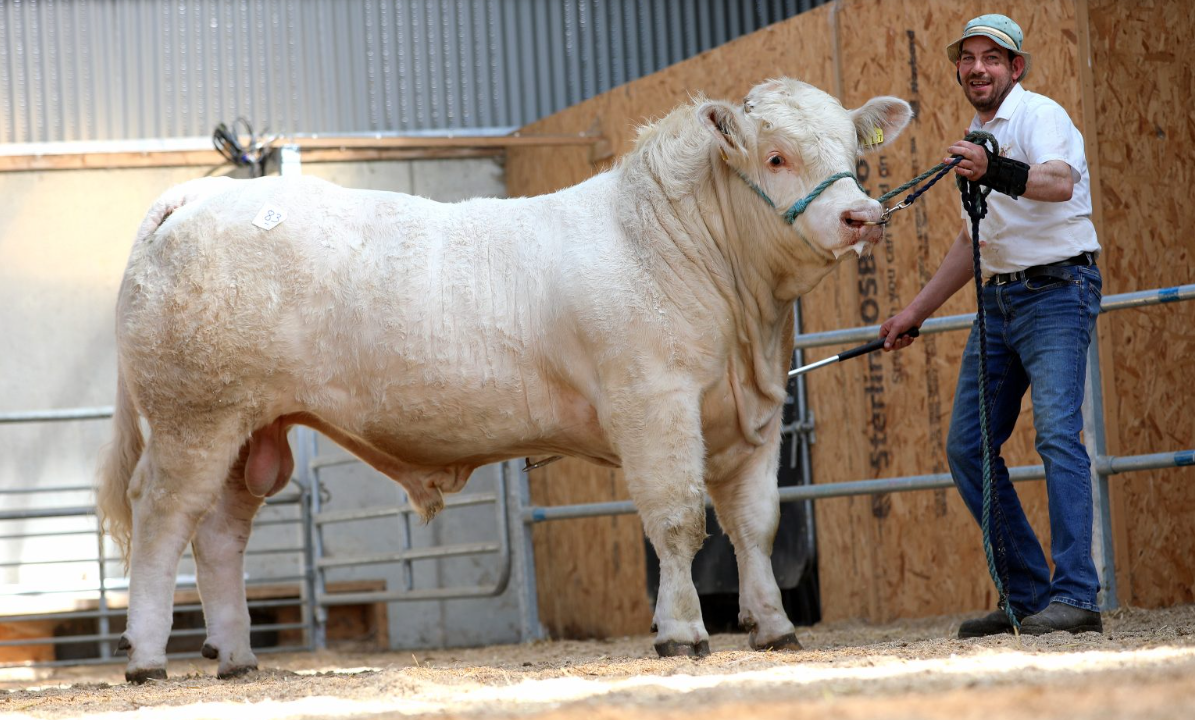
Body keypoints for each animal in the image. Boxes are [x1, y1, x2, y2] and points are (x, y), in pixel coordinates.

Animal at [98, 77, 911, 682]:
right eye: (775, 157)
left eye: (853, 151)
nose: (861, 215)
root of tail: (199, 196)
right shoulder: (653, 402)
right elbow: (679, 519)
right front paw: (681, 631)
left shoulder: (755, 417)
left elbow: (755, 523)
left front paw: (773, 626)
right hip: (193, 419)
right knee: (162, 519)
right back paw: (146, 657)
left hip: (249, 430)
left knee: (220, 535)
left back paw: (236, 655)